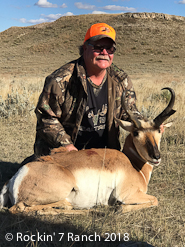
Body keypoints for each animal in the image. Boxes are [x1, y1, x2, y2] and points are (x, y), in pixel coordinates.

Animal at [0, 88, 176, 214]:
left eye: (159, 130)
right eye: (136, 132)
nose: (156, 156)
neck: (132, 164)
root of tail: (16, 177)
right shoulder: (128, 194)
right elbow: (154, 200)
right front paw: (119, 208)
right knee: (21, 208)